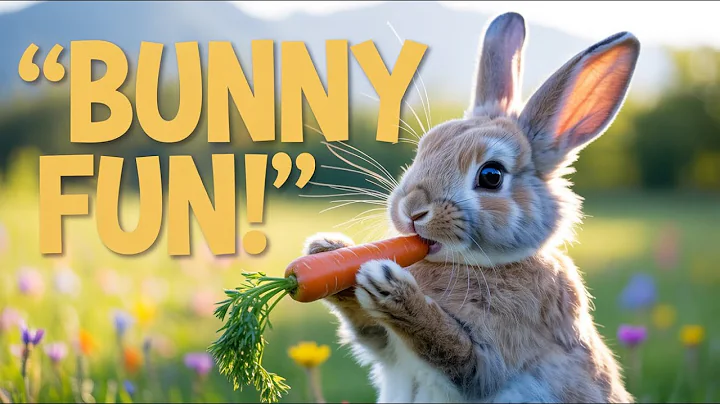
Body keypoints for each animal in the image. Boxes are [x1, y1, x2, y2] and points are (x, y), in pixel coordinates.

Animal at [304, 11, 640, 404]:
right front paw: (327, 250)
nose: (412, 208)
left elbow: (453, 349)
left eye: (491, 176)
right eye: (424, 148)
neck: (470, 264)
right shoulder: (386, 347)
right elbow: (366, 325)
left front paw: (390, 288)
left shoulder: (490, 360)